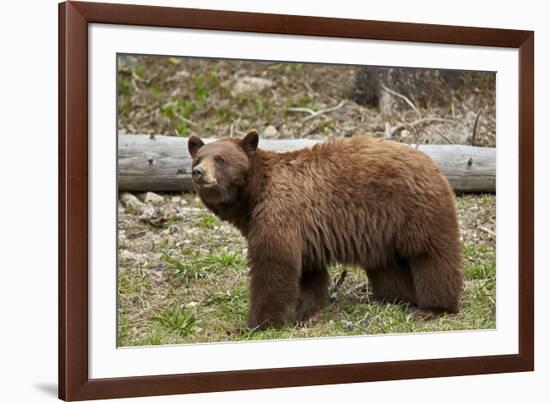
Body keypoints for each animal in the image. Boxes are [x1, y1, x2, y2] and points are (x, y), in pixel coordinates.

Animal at [188, 132, 464, 330]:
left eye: (220, 159)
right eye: (198, 157)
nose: (198, 172)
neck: (253, 196)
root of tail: (432, 163)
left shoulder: (279, 213)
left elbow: (274, 265)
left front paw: (257, 323)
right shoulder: (304, 232)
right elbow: (309, 272)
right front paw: (307, 314)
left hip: (414, 210)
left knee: (431, 256)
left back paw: (433, 307)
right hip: (384, 231)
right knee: (389, 266)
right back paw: (395, 297)